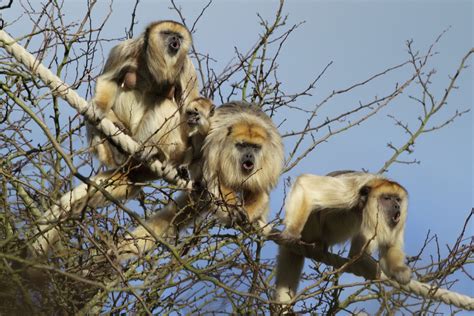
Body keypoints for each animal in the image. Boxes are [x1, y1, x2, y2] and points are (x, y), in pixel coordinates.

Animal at [274, 172, 412, 304]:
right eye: (386, 198)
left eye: (398, 199)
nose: (397, 206)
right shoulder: (353, 189)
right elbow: (307, 184)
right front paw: (292, 232)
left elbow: (390, 245)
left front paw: (399, 270)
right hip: (311, 227)